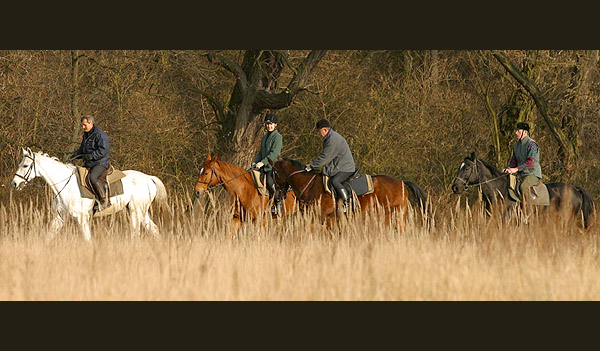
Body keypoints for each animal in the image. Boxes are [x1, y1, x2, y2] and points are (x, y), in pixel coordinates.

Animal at [11, 147, 166, 241]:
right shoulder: (59, 217)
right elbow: (48, 236)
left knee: (136, 232)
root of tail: (148, 178)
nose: (14, 183)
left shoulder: (82, 218)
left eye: (25, 165)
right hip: (141, 211)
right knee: (154, 229)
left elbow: (88, 240)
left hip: (135, 211)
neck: (65, 185)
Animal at [270, 157, 408, 231]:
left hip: (391, 217)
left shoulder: (319, 218)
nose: (276, 195)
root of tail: (402, 182)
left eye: (274, 173)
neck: (309, 185)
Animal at [452, 153, 592, 230]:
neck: (498, 190)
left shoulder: (506, 219)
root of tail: (575, 188)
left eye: (467, 168)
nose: (455, 187)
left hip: (567, 219)